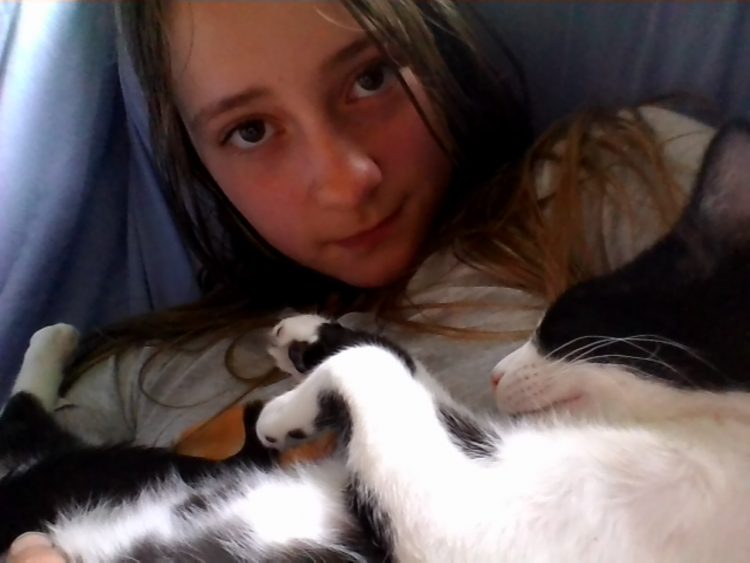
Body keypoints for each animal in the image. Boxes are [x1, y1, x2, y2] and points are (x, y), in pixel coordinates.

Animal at [1, 121, 750, 560]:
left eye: (562, 315)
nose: (499, 372)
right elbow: (406, 369)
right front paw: (305, 340)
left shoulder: (472, 525)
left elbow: (379, 363)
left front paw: (284, 414)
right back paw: (52, 338)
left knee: (23, 430)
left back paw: (52, 337)